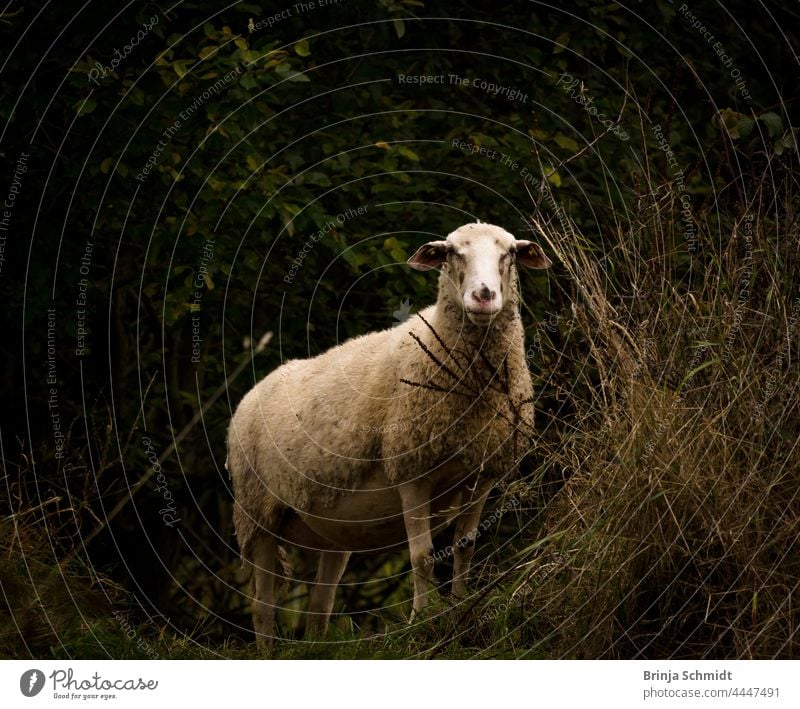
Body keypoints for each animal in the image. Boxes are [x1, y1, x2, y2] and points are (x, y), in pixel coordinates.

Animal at [225, 221, 552, 648]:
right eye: (452, 253)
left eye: (509, 253)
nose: (484, 296)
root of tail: (251, 393)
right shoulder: (412, 469)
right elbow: (422, 555)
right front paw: (422, 619)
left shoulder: (483, 472)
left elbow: (465, 546)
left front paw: (459, 609)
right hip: (257, 513)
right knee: (263, 607)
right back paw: (266, 648)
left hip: (332, 530)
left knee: (319, 608)